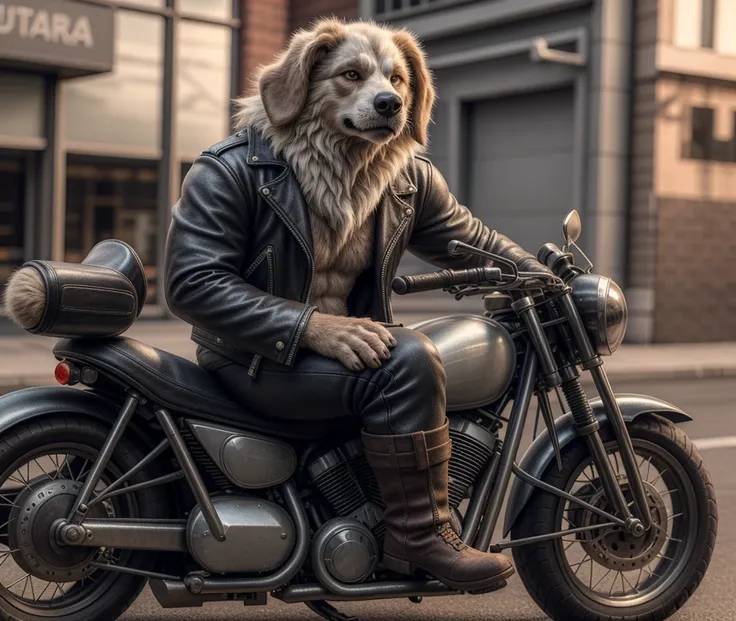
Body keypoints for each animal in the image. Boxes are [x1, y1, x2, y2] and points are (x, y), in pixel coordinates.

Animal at [165, 18, 552, 592]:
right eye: (350, 75)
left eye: (397, 78)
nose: (392, 104)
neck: (340, 162)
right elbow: (198, 276)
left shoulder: (434, 199)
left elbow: (465, 230)